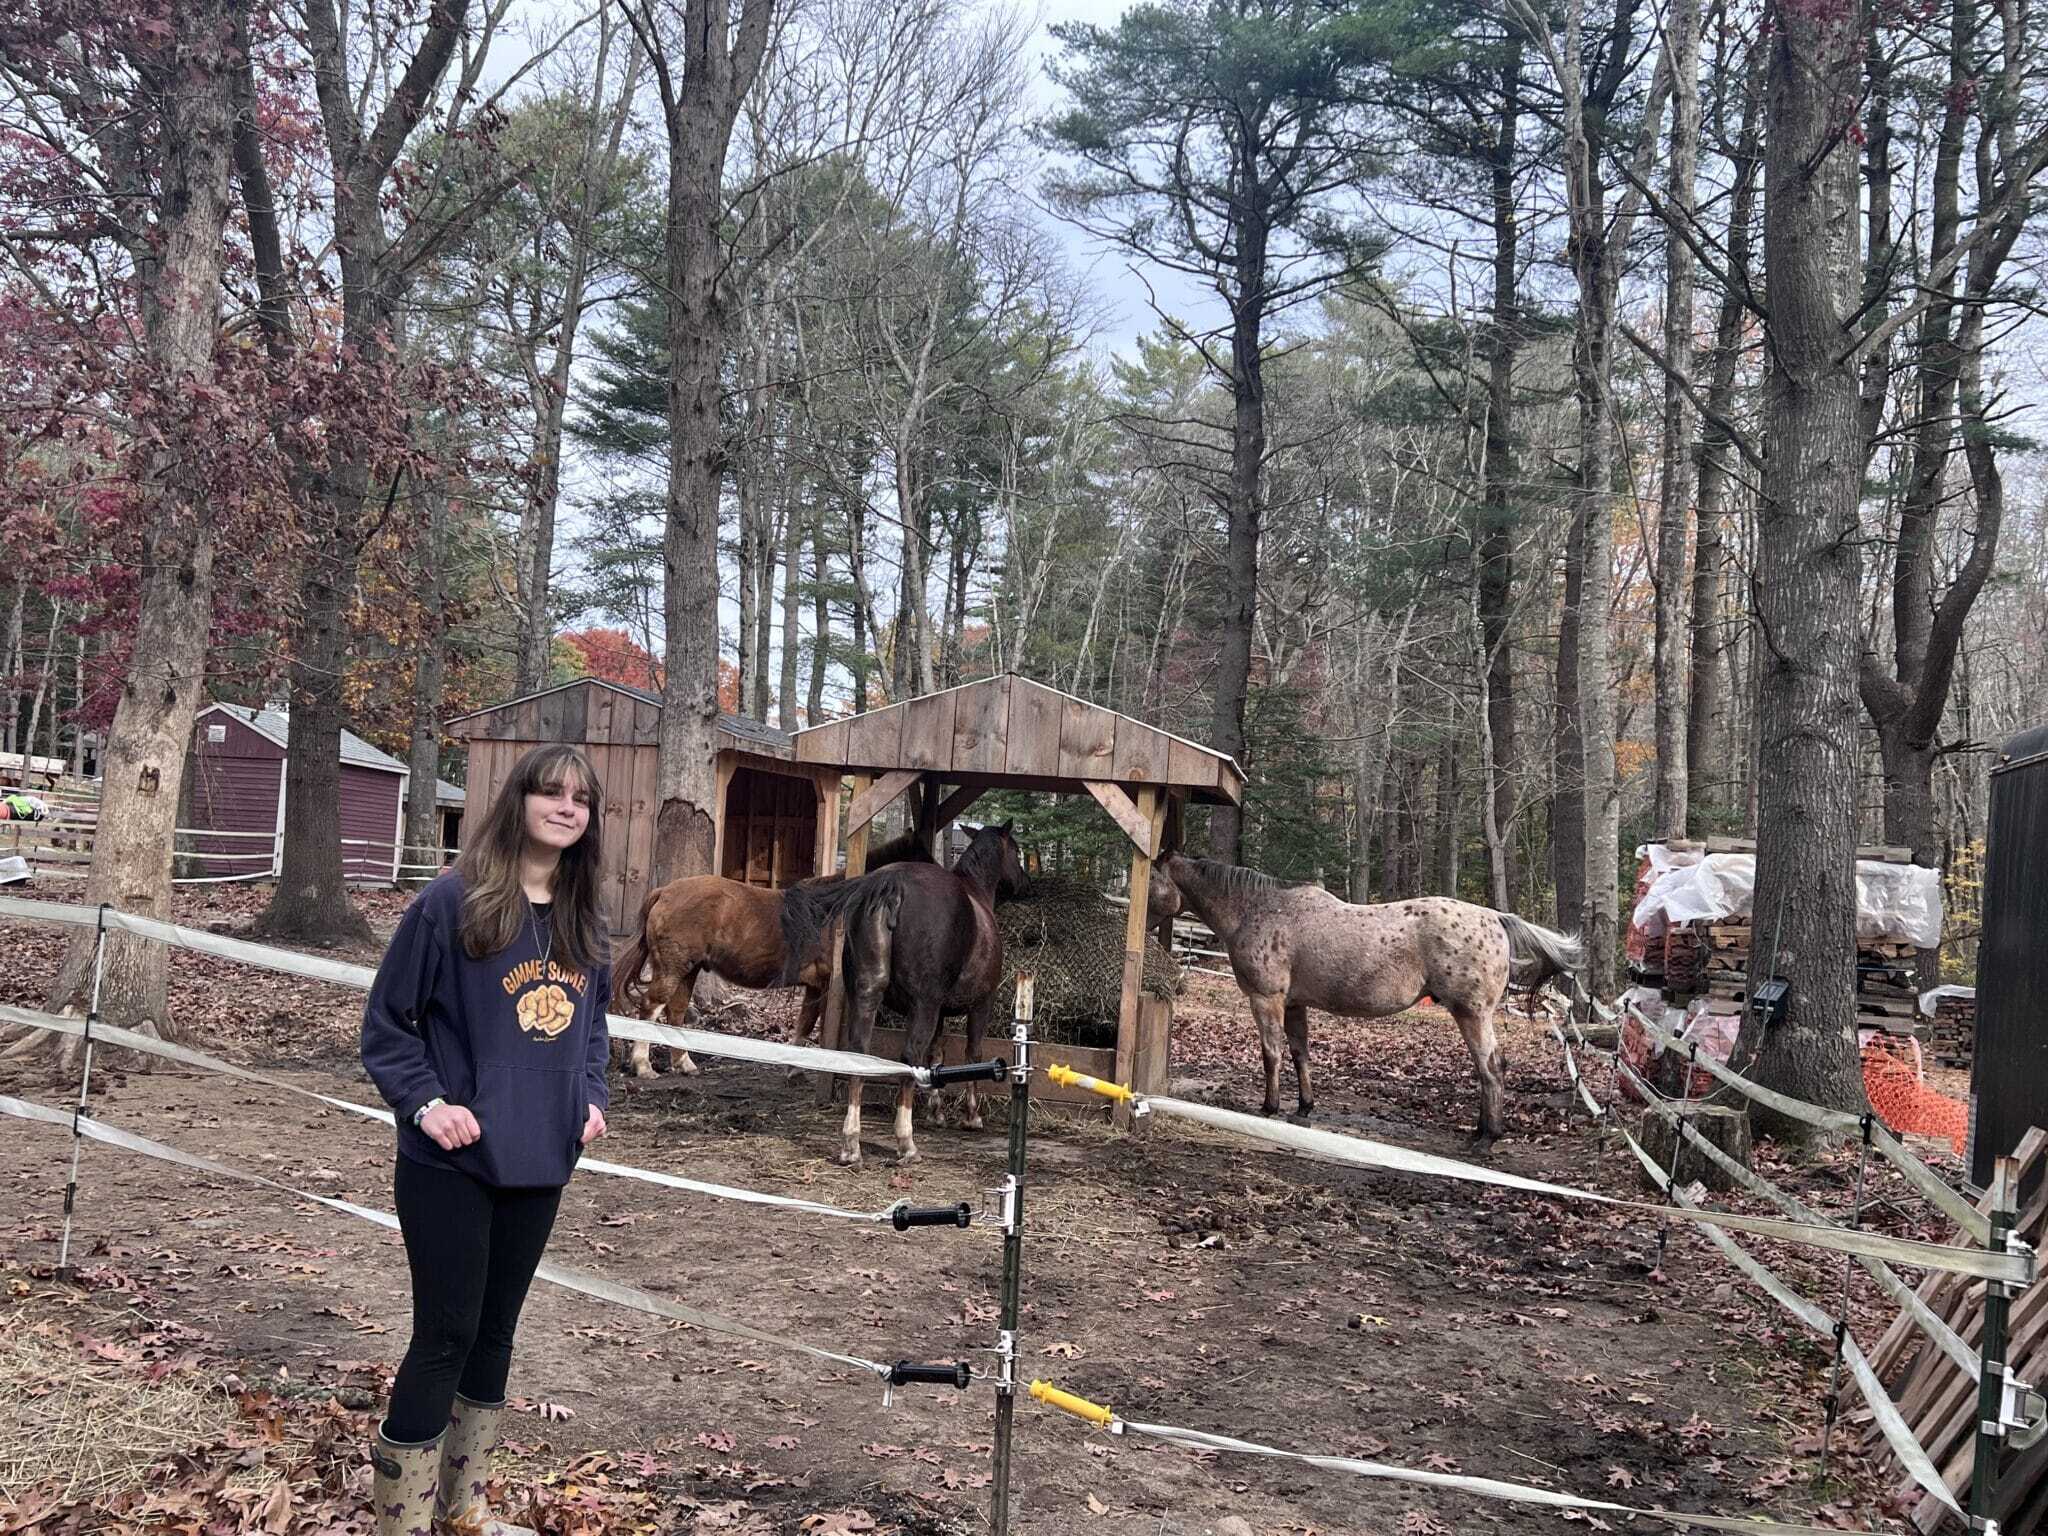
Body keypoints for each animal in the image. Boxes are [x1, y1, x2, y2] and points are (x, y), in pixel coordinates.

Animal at [608, 830, 934, 1078]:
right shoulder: (826, 985)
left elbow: (805, 1023)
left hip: (689, 969)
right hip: (672, 968)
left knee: (675, 1011)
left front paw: (794, 1068)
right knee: (651, 1007)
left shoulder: (815, 985)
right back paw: (644, 1066)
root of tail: (664, 892)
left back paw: (684, 1064)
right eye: (927, 863)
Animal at [777, 822, 1029, 1168]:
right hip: (924, 1005)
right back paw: (905, 1142)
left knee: (861, 1052)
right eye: (1016, 850)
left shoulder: (940, 1011)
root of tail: (891, 884)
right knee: (909, 1057)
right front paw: (971, 1116)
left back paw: (851, 1143)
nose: (1024, 882)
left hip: (868, 995)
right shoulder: (979, 1003)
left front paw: (936, 1111)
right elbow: (971, 1053)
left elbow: (936, 1055)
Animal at [1146, 851, 1583, 1143]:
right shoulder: (1294, 1004)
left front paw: (1269, 1107)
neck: (1261, 910)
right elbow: (1300, 1053)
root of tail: (1497, 918)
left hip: (1472, 1015)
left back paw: (1486, 1136)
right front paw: (1304, 1107)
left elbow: (1271, 1054)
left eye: (1151, 879)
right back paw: (1480, 1129)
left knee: (1491, 1067)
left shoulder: (1266, 999)